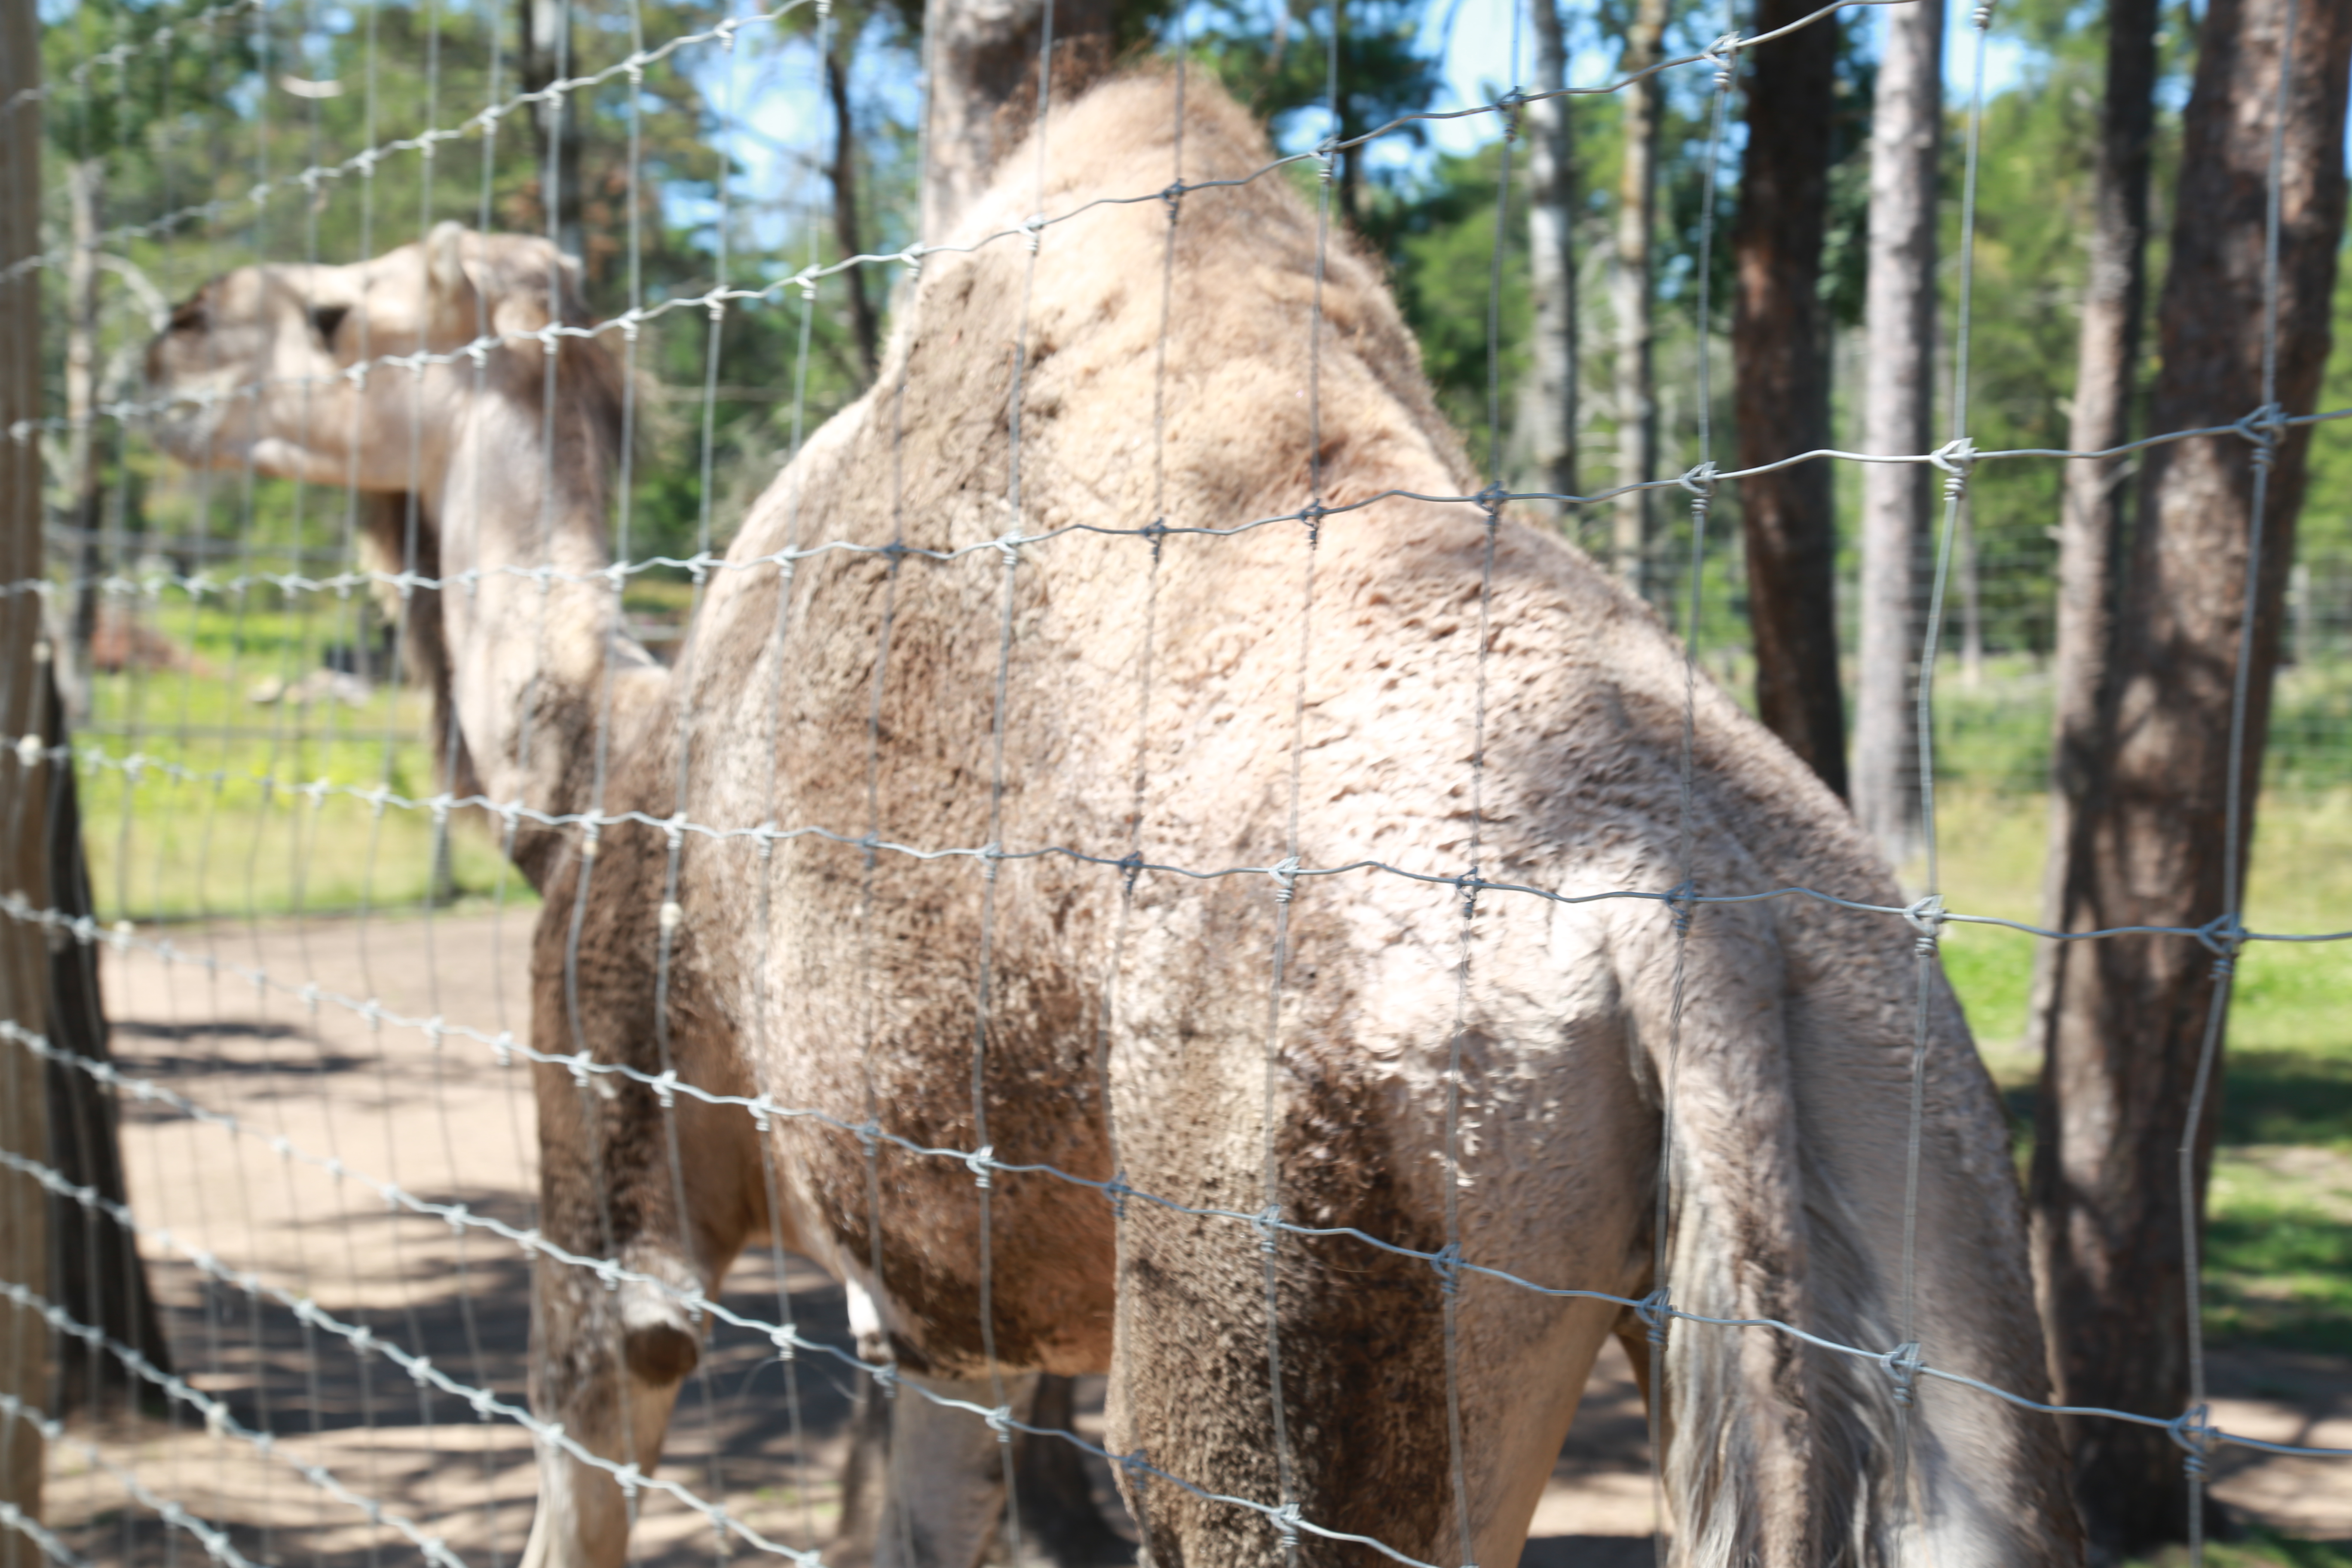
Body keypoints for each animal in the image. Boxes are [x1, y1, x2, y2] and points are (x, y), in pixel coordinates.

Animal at [146, 70, 2085, 1568]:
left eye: (338, 317)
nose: (169, 331)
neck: (600, 754)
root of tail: (1697, 918)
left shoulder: (615, 1172)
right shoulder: (944, 1302)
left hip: (1295, 1283)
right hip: (1927, 1185)